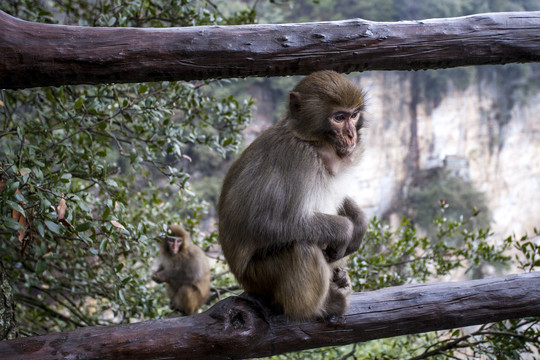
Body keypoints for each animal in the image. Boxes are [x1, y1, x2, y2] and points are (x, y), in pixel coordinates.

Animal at [218, 70, 368, 320]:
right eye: (339, 117)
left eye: (354, 115)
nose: (351, 135)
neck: (315, 144)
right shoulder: (299, 158)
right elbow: (268, 223)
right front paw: (346, 228)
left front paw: (359, 221)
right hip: (258, 277)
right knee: (302, 247)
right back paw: (321, 306)